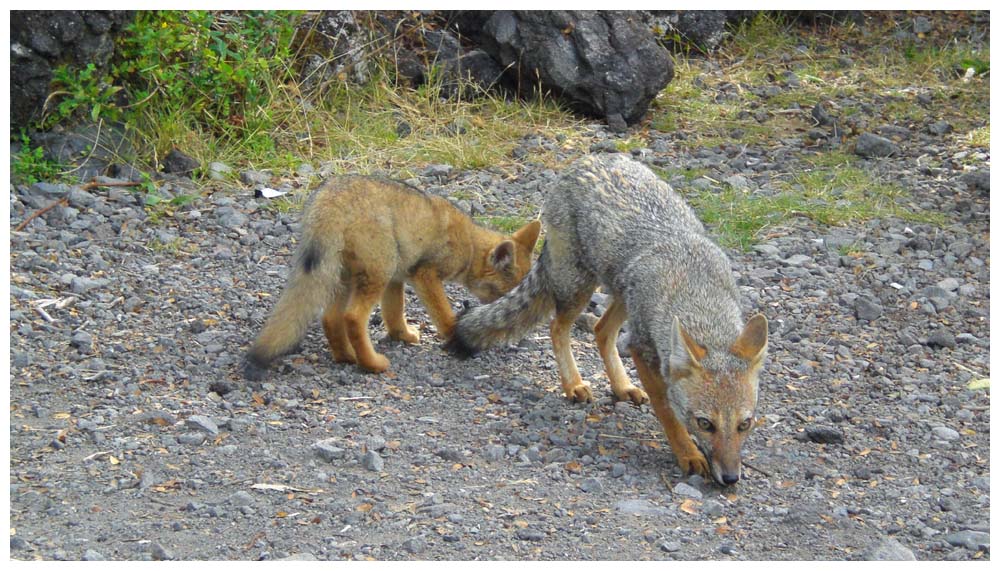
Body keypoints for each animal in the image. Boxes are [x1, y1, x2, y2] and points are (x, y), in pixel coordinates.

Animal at [446, 154, 764, 484]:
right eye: (705, 423)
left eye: (744, 424)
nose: (731, 478)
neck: (699, 294)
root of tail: (586, 160)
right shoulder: (641, 348)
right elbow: (667, 411)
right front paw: (687, 453)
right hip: (580, 288)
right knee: (558, 327)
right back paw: (573, 384)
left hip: (622, 293)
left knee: (600, 329)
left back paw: (622, 386)